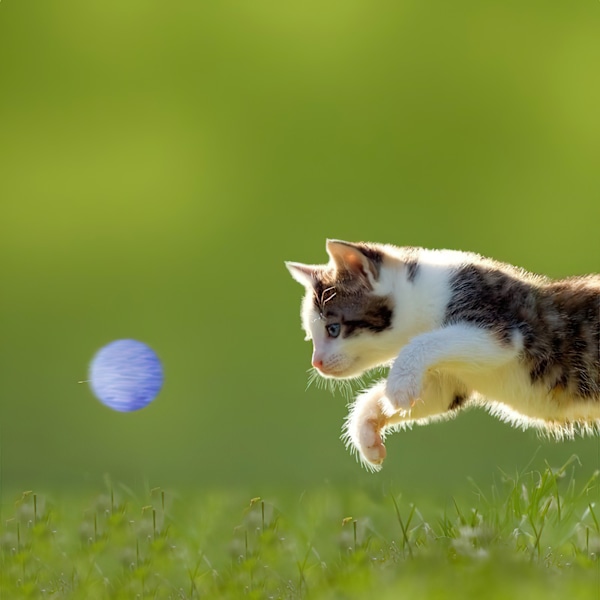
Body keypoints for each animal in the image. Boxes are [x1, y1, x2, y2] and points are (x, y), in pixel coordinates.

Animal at [286, 238, 600, 468]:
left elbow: (424, 343)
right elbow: (434, 396)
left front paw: (397, 387)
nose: (317, 362)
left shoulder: (500, 329)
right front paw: (368, 428)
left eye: (334, 329)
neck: (427, 299)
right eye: (310, 336)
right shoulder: (451, 378)